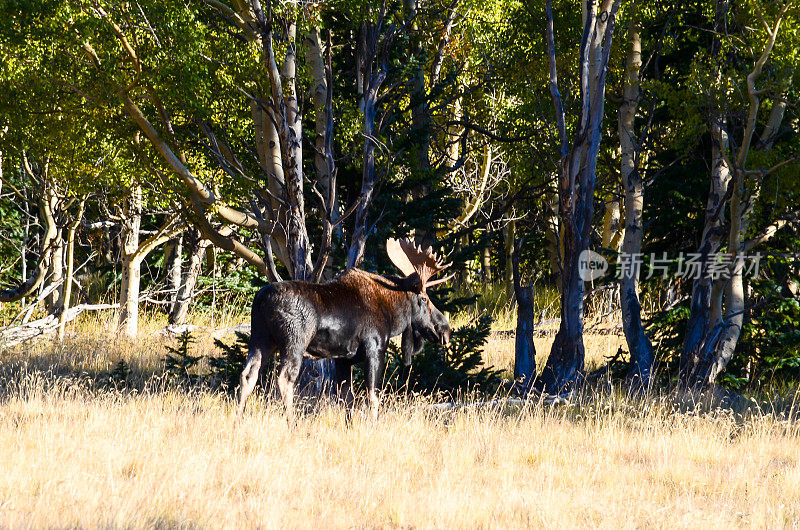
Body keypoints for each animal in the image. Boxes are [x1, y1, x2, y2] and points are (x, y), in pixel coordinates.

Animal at [234, 237, 454, 418]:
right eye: (424, 299)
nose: (445, 329)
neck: (392, 315)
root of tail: (261, 300)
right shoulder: (375, 349)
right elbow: (372, 398)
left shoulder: (343, 359)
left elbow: (347, 399)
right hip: (294, 343)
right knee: (285, 379)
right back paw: (292, 424)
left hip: (261, 339)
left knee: (248, 375)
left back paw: (238, 421)